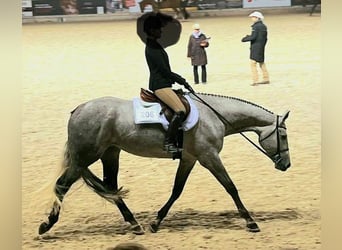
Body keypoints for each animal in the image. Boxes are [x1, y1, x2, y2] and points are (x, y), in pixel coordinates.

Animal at [38, 91, 292, 234]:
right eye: (283, 135)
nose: (286, 165)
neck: (214, 115)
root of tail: (78, 109)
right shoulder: (209, 156)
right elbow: (230, 187)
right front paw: (251, 222)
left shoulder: (190, 158)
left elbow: (177, 190)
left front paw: (156, 222)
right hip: (84, 158)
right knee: (62, 185)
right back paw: (47, 225)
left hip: (110, 153)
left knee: (110, 187)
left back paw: (135, 225)